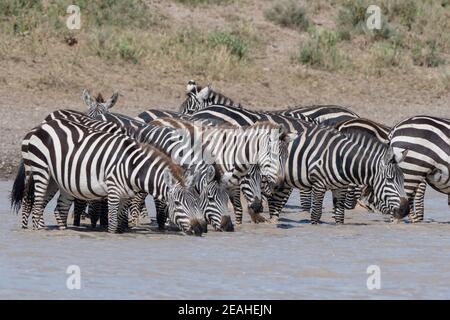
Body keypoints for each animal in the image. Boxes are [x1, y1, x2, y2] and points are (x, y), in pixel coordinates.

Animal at [11, 117, 206, 235]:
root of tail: (39, 126)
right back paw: (37, 230)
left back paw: (62, 230)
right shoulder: (113, 190)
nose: (200, 228)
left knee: (57, 207)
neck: (133, 167)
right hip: (40, 170)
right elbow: (112, 223)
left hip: (56, 179)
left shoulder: (126, 195)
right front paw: (112, 235)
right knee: (34, 203)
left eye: (196, 202)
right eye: (178, 203)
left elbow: (119, 220)